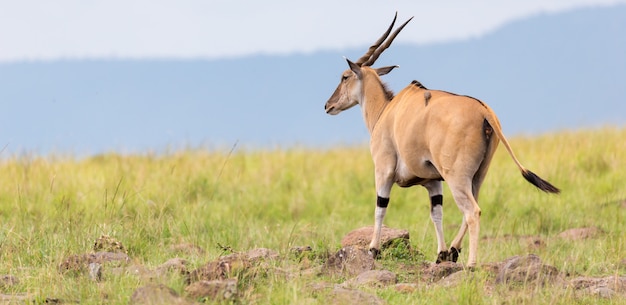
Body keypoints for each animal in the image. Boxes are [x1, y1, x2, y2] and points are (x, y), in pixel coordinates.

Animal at [324, 13, 560, 266]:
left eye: (344, 76)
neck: (387, 110)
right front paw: (441, 253)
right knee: (473, 207)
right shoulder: (433, 182)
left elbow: (380, 207)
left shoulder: (384, 171)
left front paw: (373, 249)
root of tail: (484, 112)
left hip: (456, 177)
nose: (328, 105)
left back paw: (471, 263)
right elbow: (436, 213)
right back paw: (454, 250)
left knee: (472, 212)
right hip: (477, 176)